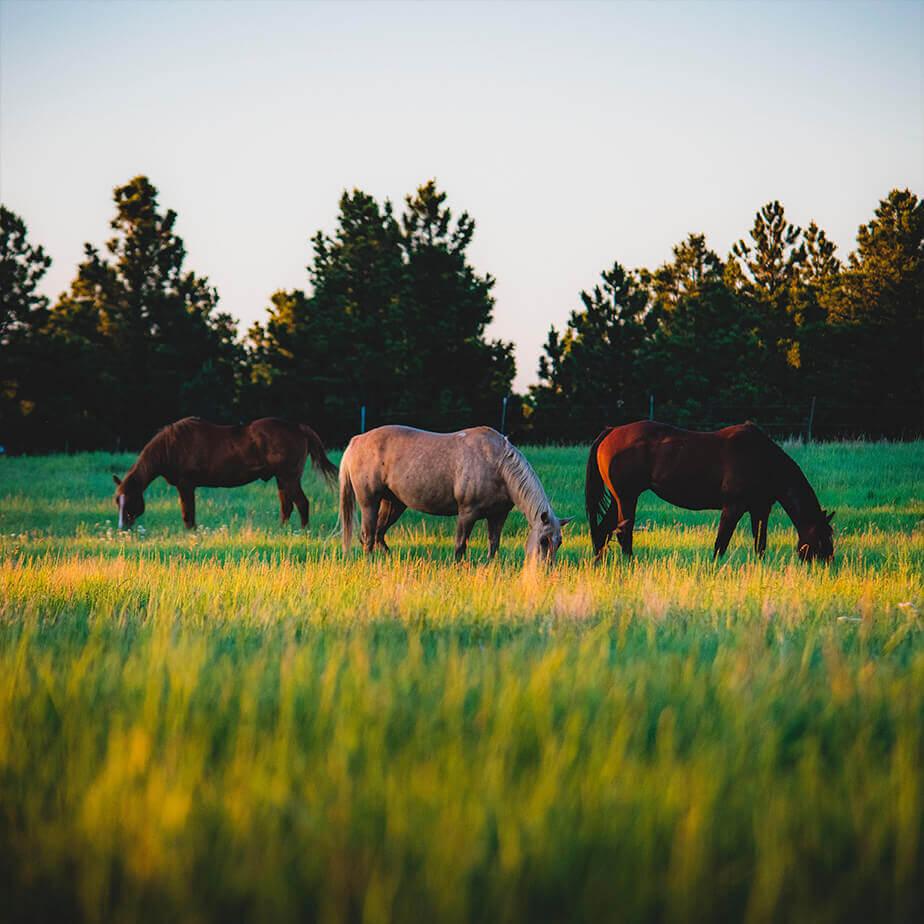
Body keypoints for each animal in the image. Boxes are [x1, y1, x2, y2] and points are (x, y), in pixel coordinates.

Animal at [112, 416, 336, 532]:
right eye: (117, 502)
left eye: (130, 500)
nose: (123, 527)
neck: (171, 447)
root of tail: (299, 427)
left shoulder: (186, 485)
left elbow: (187, 513)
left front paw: (190, 532)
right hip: (281, 479)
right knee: (287, 506)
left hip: (289, 477)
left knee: (302, 503)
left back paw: (303, 532)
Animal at [340, 426, 572, 564]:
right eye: (543, 540)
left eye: (559, 542)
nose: (546, 571)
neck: (498, 464)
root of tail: (356, 441)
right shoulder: (467, 513)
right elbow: (460, 545)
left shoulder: (498, 515)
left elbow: (494, 544)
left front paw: (490, 568)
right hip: (369, 502)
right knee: (369, 536)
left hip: (393, 503)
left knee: (379, 534)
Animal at [588, 420, 832, 564]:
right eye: (824, 536)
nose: (828, 563)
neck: (763, 459)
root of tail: (612, 431)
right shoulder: (733, 508)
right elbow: (721, 543)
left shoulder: (760, 510)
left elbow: (760, 545)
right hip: (627, 498)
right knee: (623, 534)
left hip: (619, 500)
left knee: (603, 531)